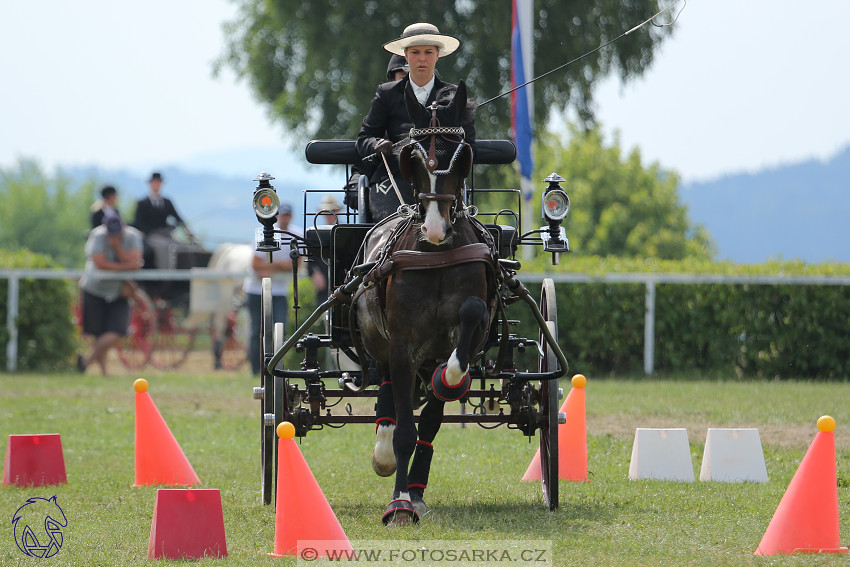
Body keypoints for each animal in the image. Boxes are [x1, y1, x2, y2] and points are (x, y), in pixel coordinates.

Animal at [352, 82, 496, 524]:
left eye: (460, 154)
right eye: (411, 158)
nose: (434, 228)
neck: (434, 254)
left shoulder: (461, 332)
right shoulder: (402, 345)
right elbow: (404, 431)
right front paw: (398, 504)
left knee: (428, 416)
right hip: (379, 342)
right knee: (386, 390)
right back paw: (385, 455)